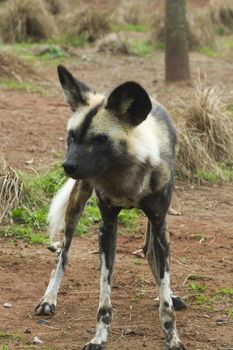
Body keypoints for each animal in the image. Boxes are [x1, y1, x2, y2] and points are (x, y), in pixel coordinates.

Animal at [35, 65, 186, 350]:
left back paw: (171, 294)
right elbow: (104, 298)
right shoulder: (107, 227)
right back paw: (48, 299)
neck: (125, 176)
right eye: (72, 136)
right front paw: (99, 337)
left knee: (150, 251)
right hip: (76, 205)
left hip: (159, 226)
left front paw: (172, 337)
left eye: (100, 139)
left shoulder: (159, 221)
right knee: (63, 254)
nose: (67, 166)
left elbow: (165, 295)